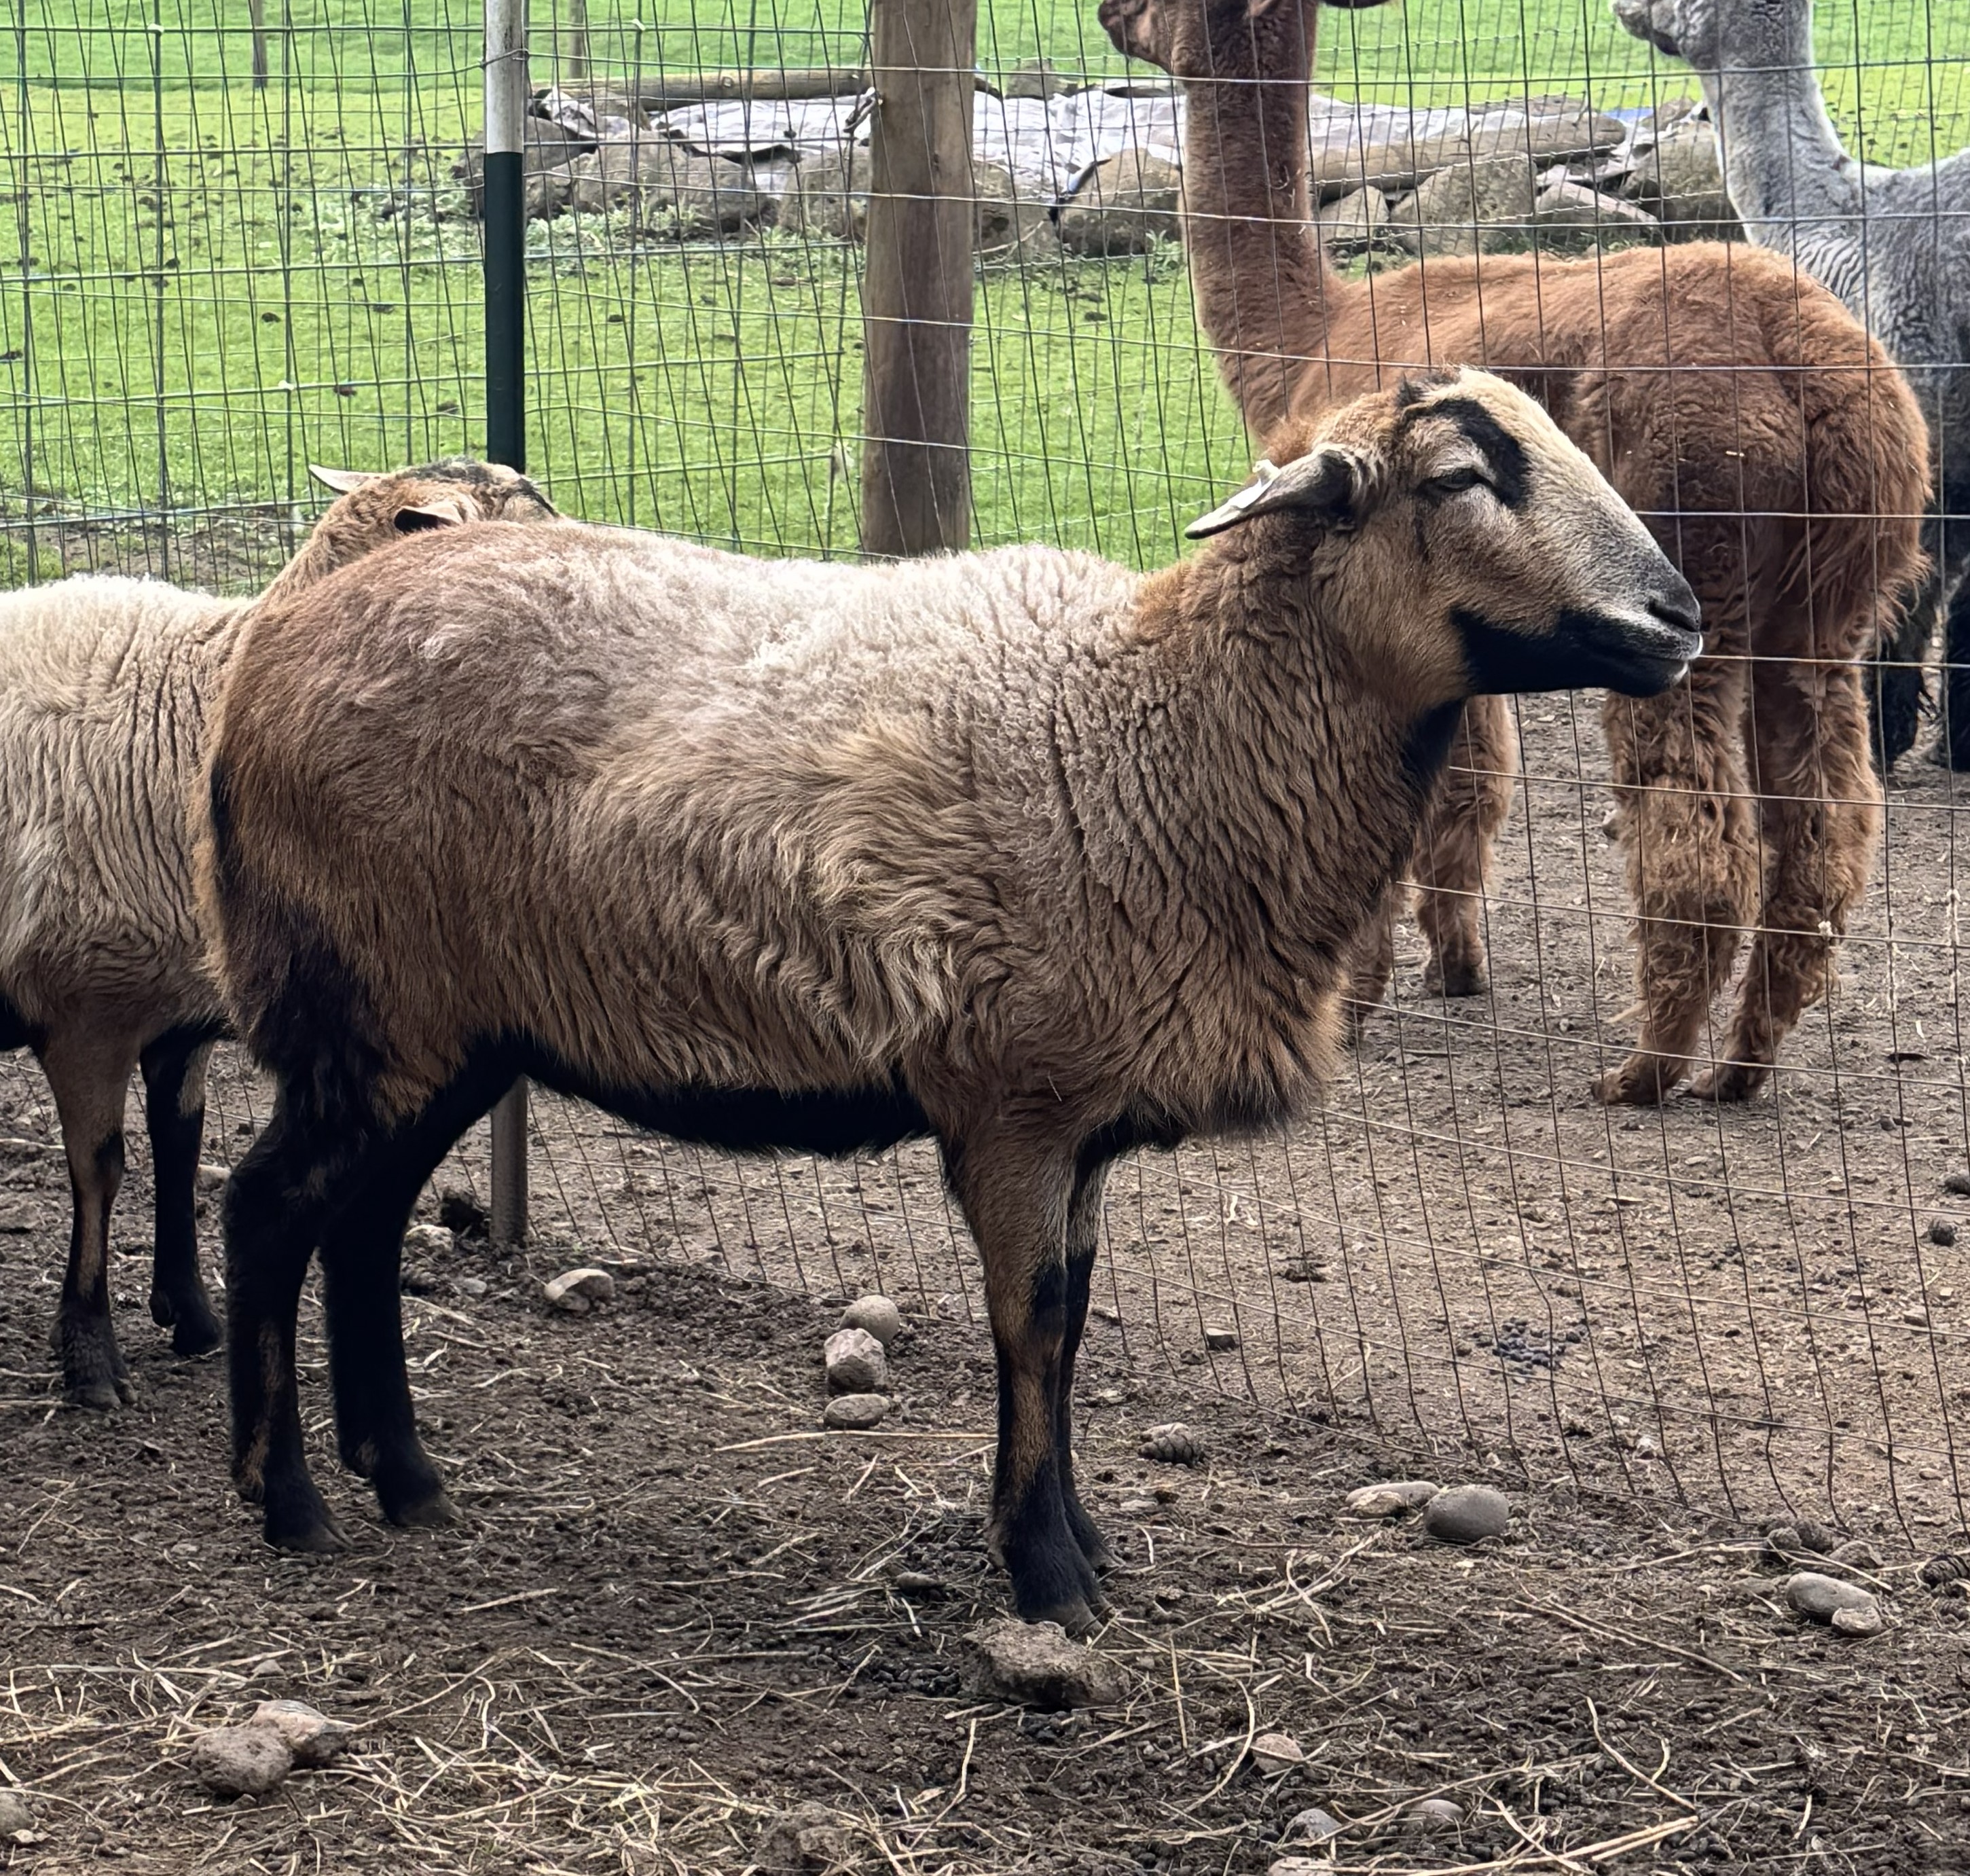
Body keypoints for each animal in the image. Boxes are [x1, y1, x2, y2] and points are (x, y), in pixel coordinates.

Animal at [0, 459, 560, 1410]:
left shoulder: (178, 1015)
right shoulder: (86, 1007)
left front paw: (191, 1315)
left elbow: (180, 1147)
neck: (197, 713)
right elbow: (101, 1168)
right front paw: (90, 1355)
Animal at [198, 369, 1702, 1627]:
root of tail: (268, 649)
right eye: (1459, 477)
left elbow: (1076, 1322)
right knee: (271, 1207)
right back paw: (291, 1500)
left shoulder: (1080, 1121)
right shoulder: (1015, 1104)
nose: (1678, 619)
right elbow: (1031, 1326)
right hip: (371, 996)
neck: (1155, 725)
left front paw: (1081, 1541)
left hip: (442, 1022)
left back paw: (409, 1481)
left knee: (363, 1222)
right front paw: (1047, 1580)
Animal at [1099, 0, 1929, 1103]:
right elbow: (1472, 786)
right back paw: (1743, 1063)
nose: (1111, 19)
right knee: (1824, 837)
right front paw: (1454, 965)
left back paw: (1645, 1069)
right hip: (1825, 612)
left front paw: (1356, 1000)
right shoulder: (1455, 609)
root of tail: (1809, 359)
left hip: (1688, 574)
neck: (1309, 334)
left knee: (1699, 835)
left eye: (1165, 8)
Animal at [1612, 0, 1970, 769]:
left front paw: (1884, 735)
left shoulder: (1922, 429)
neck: (1845, 227)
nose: (1623, 9)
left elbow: (1901, 599)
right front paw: (1954, 743)